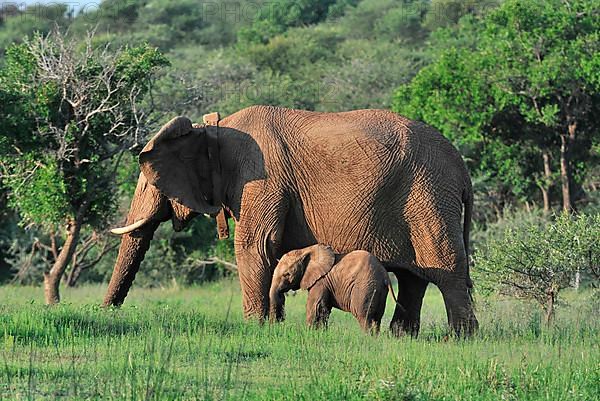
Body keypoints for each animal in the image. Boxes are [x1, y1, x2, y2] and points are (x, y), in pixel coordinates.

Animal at [103, 105, 478, 334]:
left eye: (146, 181)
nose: (107, 311)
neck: (212, 129)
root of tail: (462, 169)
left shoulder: (260, 176)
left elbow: (254, 245)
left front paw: (254, 329)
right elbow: (271, 249)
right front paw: (272, 326)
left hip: (429, 196)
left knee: (448, 272)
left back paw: (459, 340)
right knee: (413, 278)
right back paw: (403, 337)